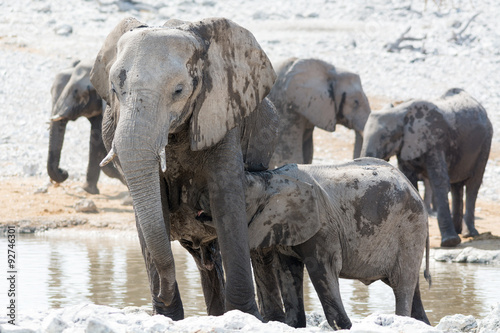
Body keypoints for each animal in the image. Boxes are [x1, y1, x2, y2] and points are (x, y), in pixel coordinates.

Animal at [90, 17, 278, 320]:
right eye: (114, 90)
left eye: (178, 91)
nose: (159, 294)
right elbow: (152, 207)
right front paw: (168, 316)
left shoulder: (222, 113)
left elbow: (227, 202)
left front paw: (244, 315)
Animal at [194, 158, 430, 330]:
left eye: (241, 201)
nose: (197, 198)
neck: (269, 178)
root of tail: (414, 189)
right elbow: (287, 271)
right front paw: (293, 325)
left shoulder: (322, 228)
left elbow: (321, 268)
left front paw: (344, 327)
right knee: (413, 289)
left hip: (409, 229)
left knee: (402, 285)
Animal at [360, 87, 492, 246]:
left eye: (386, 137)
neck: (401, 113)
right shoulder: (406, 147)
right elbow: (409, 179)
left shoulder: (434, 139)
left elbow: (439, 182)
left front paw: (449, 242)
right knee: (457, 186)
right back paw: (459, 231)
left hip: (485, 143)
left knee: (473, 185)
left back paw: (468, 234)